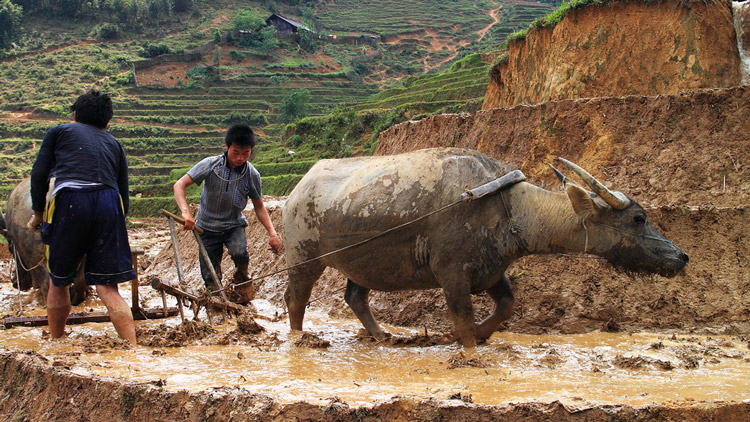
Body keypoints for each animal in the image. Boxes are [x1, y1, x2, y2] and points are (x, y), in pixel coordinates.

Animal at [284, 148, 692, 346]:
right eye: (638, 218)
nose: (682, 255)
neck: (510, 207)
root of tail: (297, 190)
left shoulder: (493, 269)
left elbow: (507, 304)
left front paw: (483, 334)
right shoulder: (452, 273)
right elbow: (462, 317)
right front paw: (468, 347)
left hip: (364, 263)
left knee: (355, 296)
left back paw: (383, 336)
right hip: (304, 257)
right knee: (296, 298)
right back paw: (300, 338)